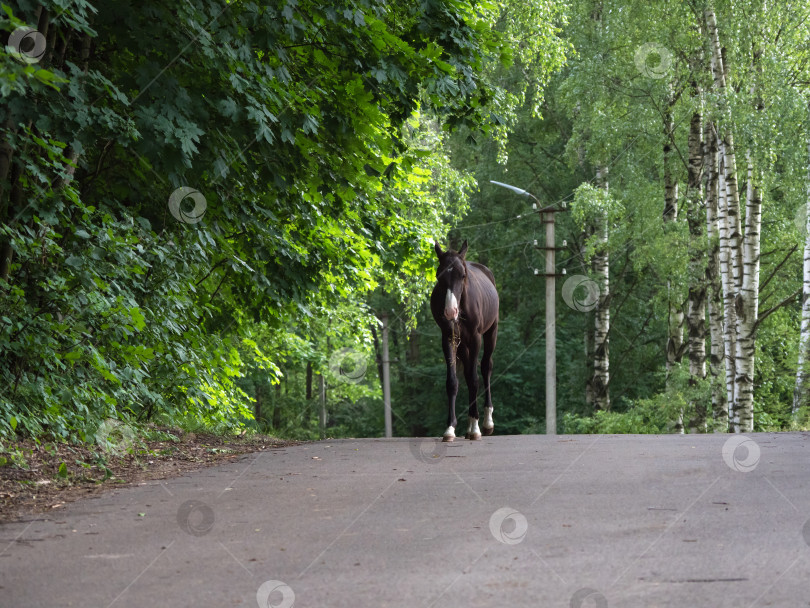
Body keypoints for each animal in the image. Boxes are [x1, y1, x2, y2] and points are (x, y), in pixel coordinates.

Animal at [430, 239, 498, 442]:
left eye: (462, 275)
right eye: (439, 276)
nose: (450, 312)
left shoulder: (476, 338)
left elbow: (474, 379)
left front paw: (476, 427)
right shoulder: (449, 338)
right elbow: (453, 381)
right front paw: (450, 428)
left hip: (491, 332)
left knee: (485, 367)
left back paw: (486, 423)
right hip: (463, 345)